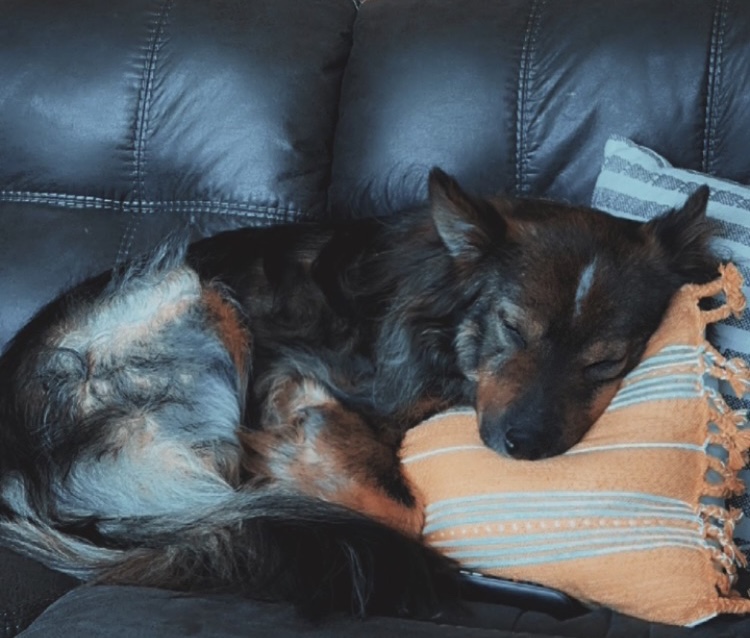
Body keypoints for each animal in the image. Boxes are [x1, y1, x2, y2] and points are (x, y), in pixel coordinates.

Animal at [0, 168, 717, 617]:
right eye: (512, 328)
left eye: (608, 362)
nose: (524, 446)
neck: (442, 317)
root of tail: (24, 462)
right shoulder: (296, 369)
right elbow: (401, 511)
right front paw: (289, 465)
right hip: (199, 298)